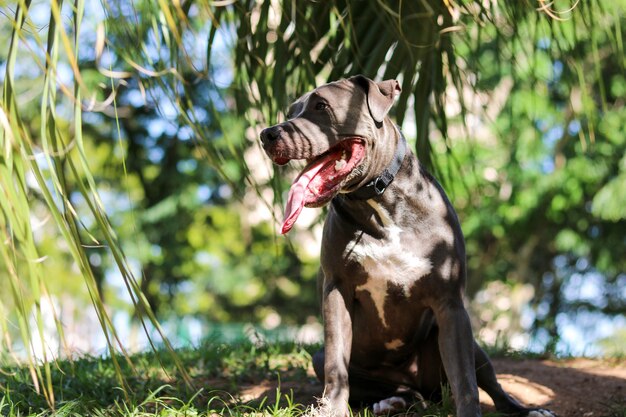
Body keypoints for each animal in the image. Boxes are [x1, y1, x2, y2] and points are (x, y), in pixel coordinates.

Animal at [258, 75, 552, 416]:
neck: (380, 202)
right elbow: (336, 365)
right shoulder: (336, 289)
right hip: (331, 361)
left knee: (491, 385)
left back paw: (526, 409)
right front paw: (331, 409)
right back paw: (392, 401)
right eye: (292, 111)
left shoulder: (450, 304)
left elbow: (466, 381)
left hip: (472, 347)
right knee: (386, 386)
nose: (267, 133)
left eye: (321, 105)